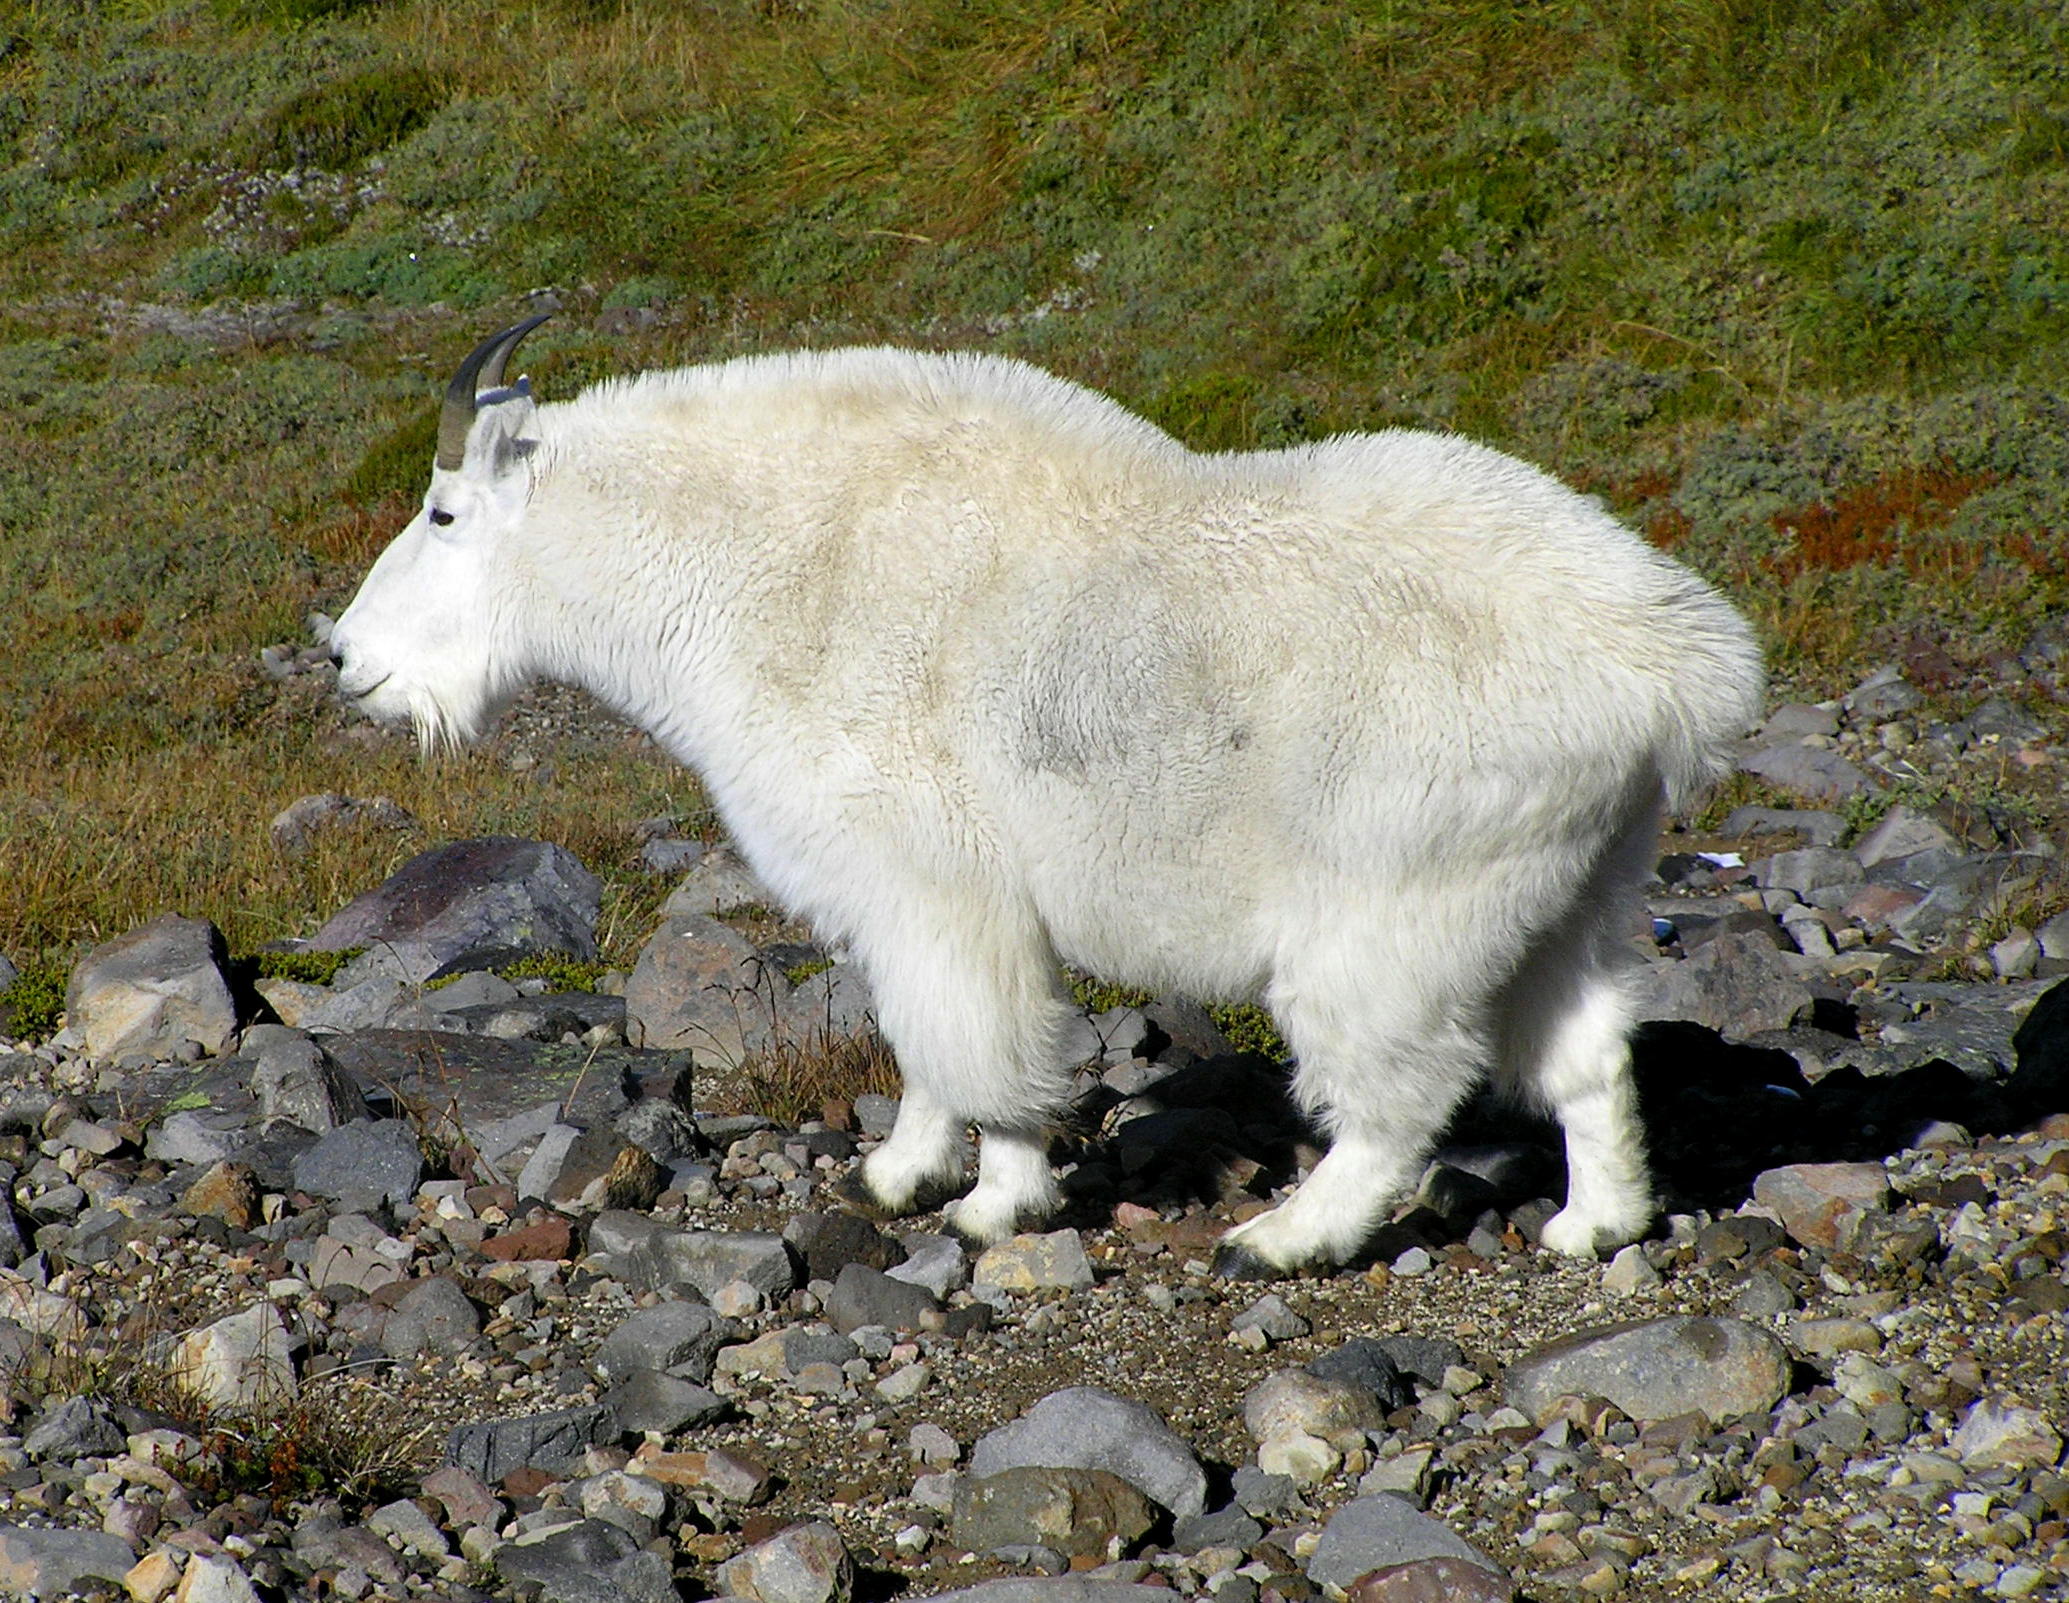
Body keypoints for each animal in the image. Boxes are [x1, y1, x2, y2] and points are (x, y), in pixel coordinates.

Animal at [326, 320, 1762, 1282]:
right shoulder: (894, 894)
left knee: (1398, 1092)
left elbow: (975, 1037)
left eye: (444, 512)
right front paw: (899, 1168)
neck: (767, 570)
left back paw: (1280, 1237)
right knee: (1586, 1049)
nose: (345, 657)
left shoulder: (933, 876)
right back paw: (1593, 1221)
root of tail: (1674, 670)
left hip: (1398, 899)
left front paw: (991, 1200)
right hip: (1570, 878)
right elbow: (917, 1038)